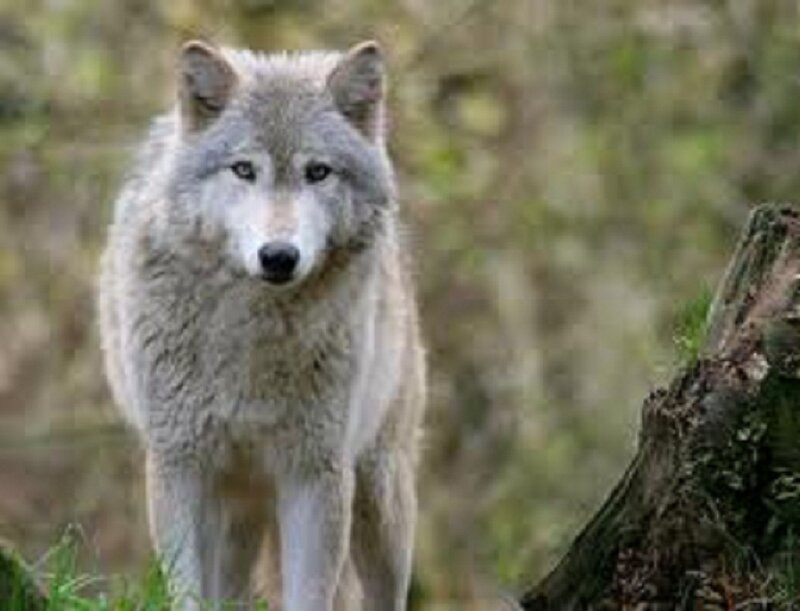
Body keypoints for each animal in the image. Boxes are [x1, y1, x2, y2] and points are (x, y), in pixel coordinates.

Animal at [97, 39, 426, 611]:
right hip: (238, 507)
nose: (278, 256)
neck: (250, 338)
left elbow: (310, 593)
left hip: (380, 492)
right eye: (244, 169)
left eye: (318, 172)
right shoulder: (180, 465)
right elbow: (186, 592)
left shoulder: (315, 474)